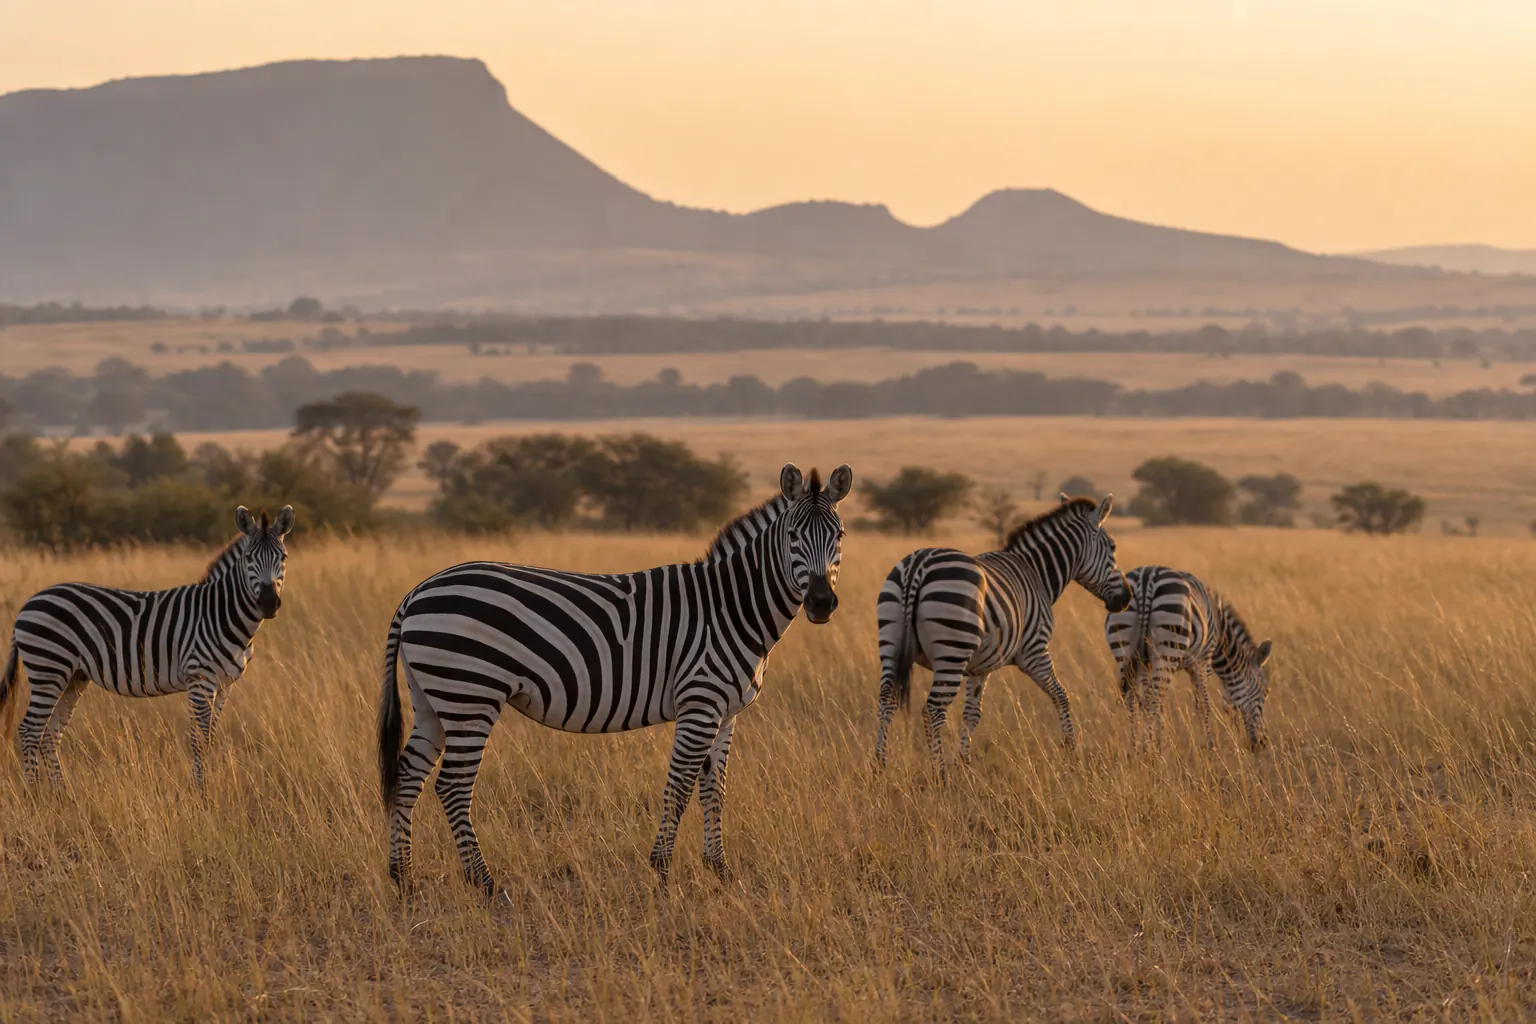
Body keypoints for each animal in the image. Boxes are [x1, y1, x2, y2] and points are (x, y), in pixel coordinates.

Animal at [0, 506, 295, 787]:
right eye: (248, 558)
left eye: (283, 557)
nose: (269, 603)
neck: (220, 613)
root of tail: (29, 602)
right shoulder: (200, 679)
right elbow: (199, 740)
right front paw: (201, 794)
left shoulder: (224, 685)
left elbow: (209, 738)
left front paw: (206, 788)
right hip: (48, 668)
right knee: (29, 731)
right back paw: (36, 795)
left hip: (74, 676)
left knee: (51, 733)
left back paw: (62, 796)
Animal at [377, 463, 852, 896]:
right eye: (792, 536)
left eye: (840, 537)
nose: (821, 603)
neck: (732, 608)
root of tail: (417, 591)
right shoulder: (699, 703)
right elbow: (679, 788)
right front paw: (661, 873)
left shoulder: (726, 711)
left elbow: (714, 789)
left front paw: (719, 869)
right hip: (470, 695)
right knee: (453, 786)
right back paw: (485, 883)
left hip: (434, 698)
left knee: (408, 775)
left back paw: (404, 879)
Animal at [874, 494, 1131, 777]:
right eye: (1113, 547)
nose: (1126, 598)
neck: (1036, 573)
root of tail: (918, 566)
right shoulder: (1034, 652)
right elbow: (1061, 696)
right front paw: (1070, 751)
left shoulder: (979, 666)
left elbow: (972, 713)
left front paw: (965, 763)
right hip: (951, 652)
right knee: (932, 712)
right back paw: (940, 775)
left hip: (891, 642)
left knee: (886, 702)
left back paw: (880, 767)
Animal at [1105, 565, 1273, 753]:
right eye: (1265, 693)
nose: (1262, 743)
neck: (1220, 632)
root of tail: (1145, 579)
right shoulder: (1203, 661)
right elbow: (1203, 705)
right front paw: (1209, 747)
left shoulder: (1146, 664)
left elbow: (1148, 701)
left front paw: (1149, 743)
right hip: (1167, 649)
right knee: (1156, 699)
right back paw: (1156, 751)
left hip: (1124, 648)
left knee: (1134, 700)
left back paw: (1135, 750)